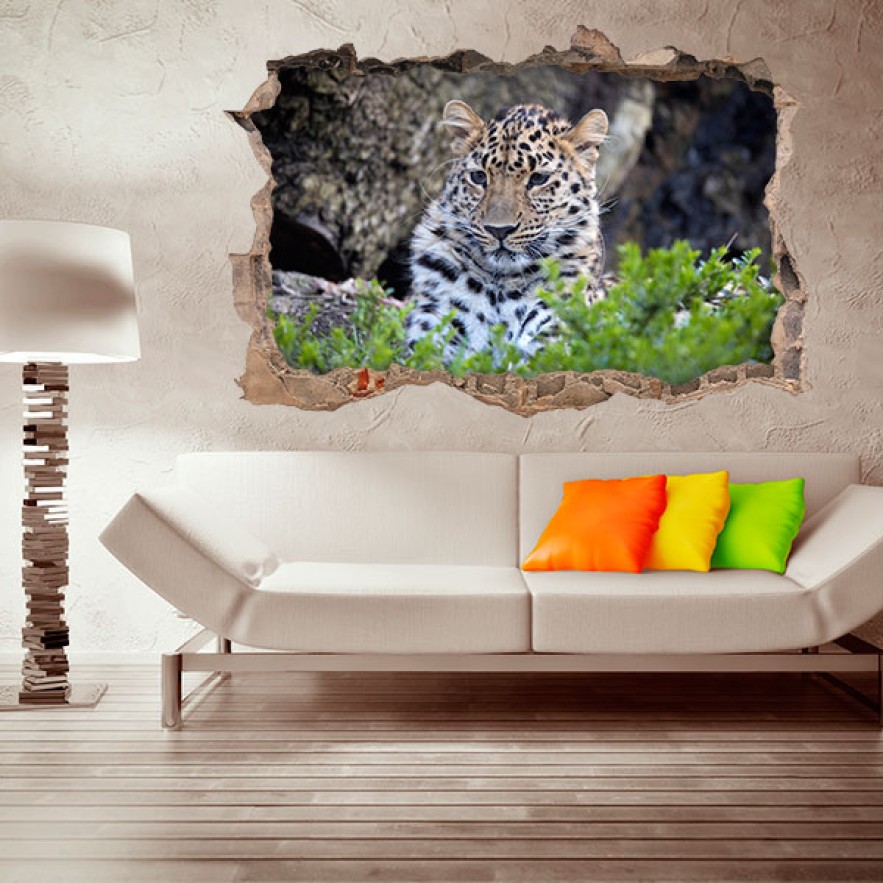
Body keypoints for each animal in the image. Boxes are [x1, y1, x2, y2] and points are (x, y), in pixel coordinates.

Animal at [405, 100, 609, 363]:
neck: (503, 284)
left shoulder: (555, 337)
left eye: (538, 179)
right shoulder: (433, 327)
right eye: (479, 176)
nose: (499, 230)